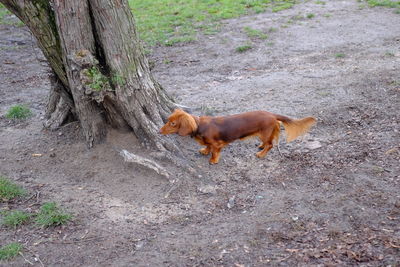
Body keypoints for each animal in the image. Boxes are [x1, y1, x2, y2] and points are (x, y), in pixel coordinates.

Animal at [159, 108, 316, 163]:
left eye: (173, 123)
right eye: (167, 120)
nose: (159, 131)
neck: (199, 125)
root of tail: (272, 114)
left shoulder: (217, 144)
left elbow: (214, 151)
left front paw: (213, 160)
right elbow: (208, 147)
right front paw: (205, 150)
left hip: (265, 133)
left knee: (271, 145)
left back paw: (261, 154)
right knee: (268, 143)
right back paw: (261, 146)